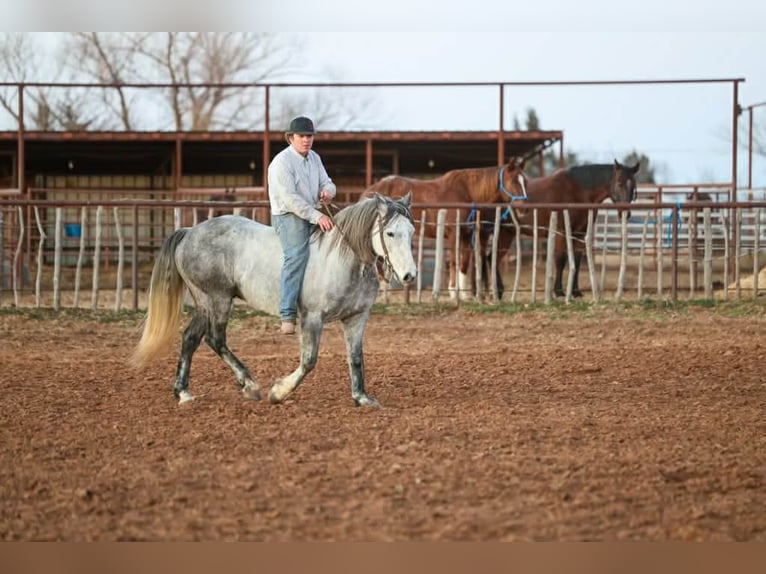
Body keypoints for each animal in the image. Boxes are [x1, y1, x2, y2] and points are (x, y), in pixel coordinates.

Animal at [132, 192, 417, 408]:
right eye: (390, 233)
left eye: (412, 231)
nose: (409, 275)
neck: (342, 260)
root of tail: (189, 232)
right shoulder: (313, 318)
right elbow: (308, 361)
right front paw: (278, 392)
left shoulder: (356, 318)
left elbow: (356, 358)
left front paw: (362, 398)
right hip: (217, 299)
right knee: (215, 339)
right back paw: (249, 384)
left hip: (204, 304)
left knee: (191, 338)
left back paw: (183, 393)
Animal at [365, 158, 528, 300]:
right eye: (514, 181)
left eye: (525, 181)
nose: (524, 210)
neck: (466, 193)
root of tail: (370, 191)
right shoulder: (454, 233)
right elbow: (454, 262)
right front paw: (453, 293)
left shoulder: (466, 235)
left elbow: (464, 263)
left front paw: (464, 295)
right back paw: (384, 292)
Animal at [489, 160, 640, 298]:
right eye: (619, 183)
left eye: (634, 186)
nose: (625, 213)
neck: (577, 192)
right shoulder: (561, 232)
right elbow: (561, 259)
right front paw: (559, 291)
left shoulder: (579, 234)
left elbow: (576, 261)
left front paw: (575, 292)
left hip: (506, 234)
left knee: (493, 258)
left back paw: (498, 291)